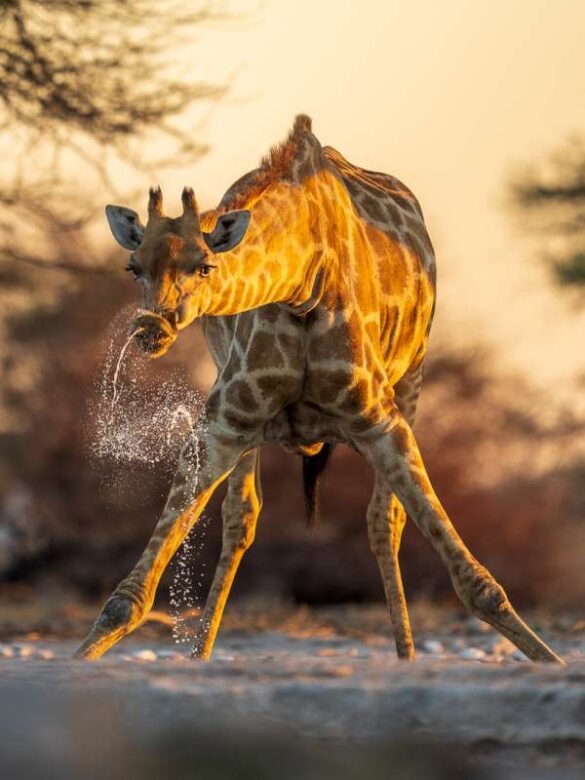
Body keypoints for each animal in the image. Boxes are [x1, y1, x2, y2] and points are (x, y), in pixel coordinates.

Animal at [76, 115, 562, 664]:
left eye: (204, 265)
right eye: (133, 266)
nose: (150, 330)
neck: (302, 284)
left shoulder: (380, 418)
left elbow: (476, 582)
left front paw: (551, 660)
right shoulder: (225, 420)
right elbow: (131, 595)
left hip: (412, 380)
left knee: (383, 520)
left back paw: (406, 657)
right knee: (241, 518)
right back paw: (201, 655)